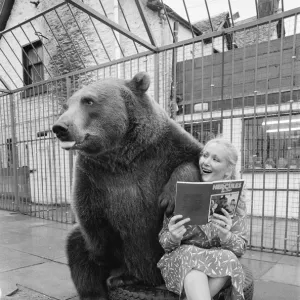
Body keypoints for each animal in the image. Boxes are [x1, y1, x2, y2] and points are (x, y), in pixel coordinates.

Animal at [51, 71, 203, 298]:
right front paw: (111, 266)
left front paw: (169, 199)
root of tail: (153, 280)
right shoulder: (92, 174)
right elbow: (90, 216)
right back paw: (113, 282)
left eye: (88, 100)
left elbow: (193, 159)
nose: (60, 127)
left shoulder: (163, 147)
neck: (123, 154)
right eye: (65, 105)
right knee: (78, 250)